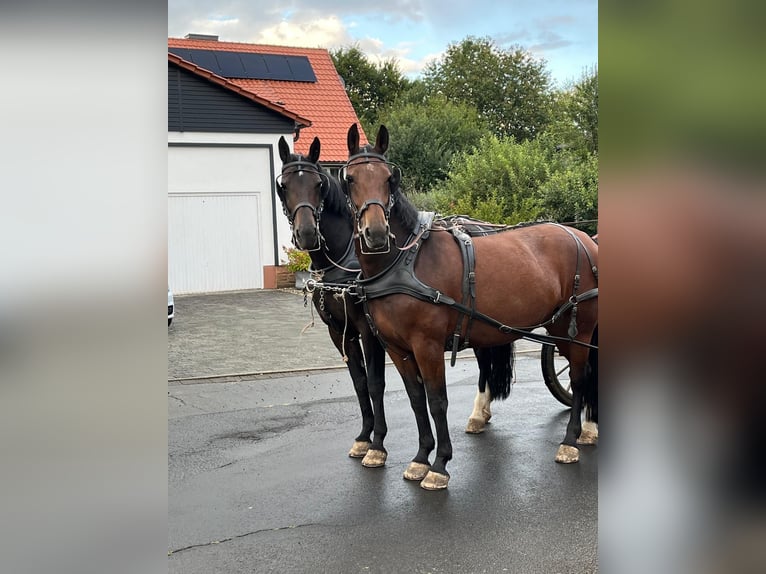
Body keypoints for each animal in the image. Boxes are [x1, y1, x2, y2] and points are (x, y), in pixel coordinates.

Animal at [275, 136, 516, 469]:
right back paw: (482, 413)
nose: (308, 233)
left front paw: (377, 444)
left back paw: (479, 413)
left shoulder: (368, 331)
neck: (346, 261)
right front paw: (363, 437)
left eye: (319, 183)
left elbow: (376, 384)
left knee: (484, 362)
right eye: (284, 185)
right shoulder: (339, 332)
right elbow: (359, 383)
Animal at [341, 124, 599, 490]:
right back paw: (588, 431)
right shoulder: (397, 348)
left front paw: (439, 465)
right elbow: (417, 400)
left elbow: (437, 402)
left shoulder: (427, 346)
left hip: (576, 330)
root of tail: (585, 239)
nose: (375, 234)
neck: (405, 262)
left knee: (579, 379)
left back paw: (571, 440)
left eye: (390, 179)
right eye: (349, 178)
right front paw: (421, 458)